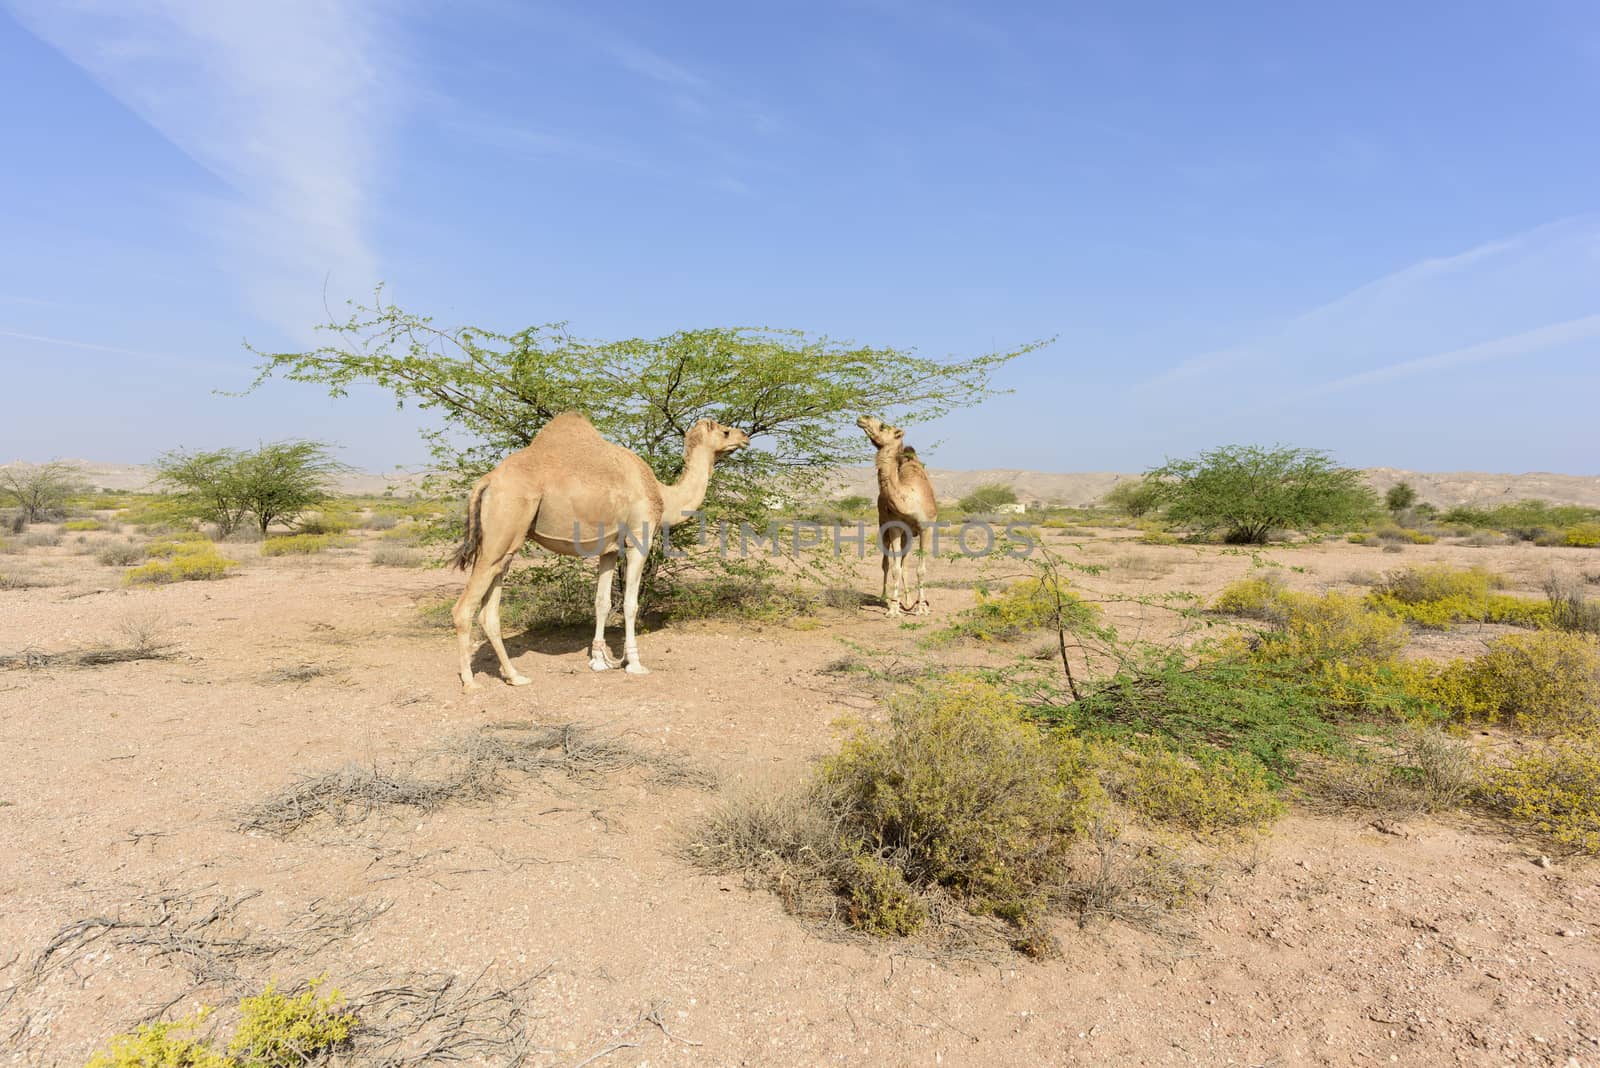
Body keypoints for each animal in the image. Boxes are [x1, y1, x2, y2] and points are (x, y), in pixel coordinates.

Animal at [451, 409, 748, 693]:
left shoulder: (609, 548)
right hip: (503, 525)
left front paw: (599, 660)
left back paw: (515, 676)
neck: (663, 496)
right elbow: (630, 603)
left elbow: (602, 602)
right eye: (725, 431)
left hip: (507, 544)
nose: (744, 437)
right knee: (464, 608)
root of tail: (487, 481)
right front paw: (634, 663)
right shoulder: (639, 540)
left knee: (489, 612)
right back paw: (470, 682)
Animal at [857, 415, 940, 617]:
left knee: (905, 563)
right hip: (884, 527)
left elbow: (920, 569)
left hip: (909, 536)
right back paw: (885, 598)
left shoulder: (926, 527)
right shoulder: (895, 527)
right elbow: (895, 567)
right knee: (887, 563)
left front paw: (921, 607)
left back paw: (909, 601)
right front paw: (893, 608)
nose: (863, 418)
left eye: (882, 426)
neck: (910, 498)